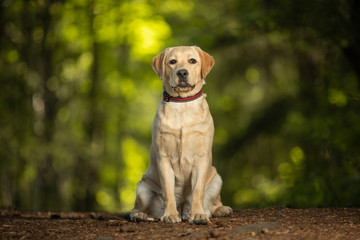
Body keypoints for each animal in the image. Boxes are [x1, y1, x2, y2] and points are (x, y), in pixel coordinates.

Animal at [131, 46, 232, 224]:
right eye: (172, 61)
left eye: (192, 60)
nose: (182, 72)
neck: (182, 103)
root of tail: (183, 208)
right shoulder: (163, 158)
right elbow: (168, 191)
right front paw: (170, 214)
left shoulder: (201, 157)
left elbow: (198, 190)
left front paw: (198, 214)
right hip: (142, 188)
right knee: (137, 208)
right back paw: (140, 215)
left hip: (216, 179)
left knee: (213, 203)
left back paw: (220, 210)